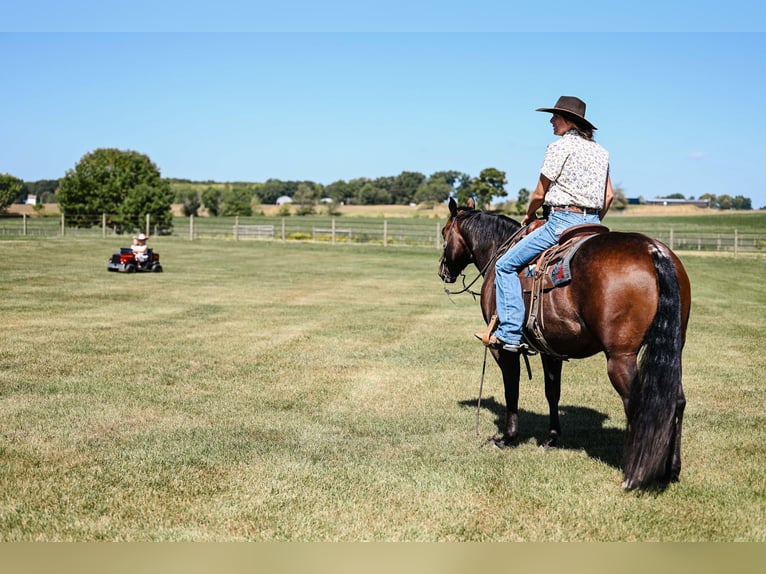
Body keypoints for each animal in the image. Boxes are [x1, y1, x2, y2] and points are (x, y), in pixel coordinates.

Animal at [438, 200, 696, 492]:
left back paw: (635, 474)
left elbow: (511, 390)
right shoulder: (551, 349)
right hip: (673, 350)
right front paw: (552, 438)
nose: (443, 270)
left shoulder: (503, 348)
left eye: (445, 232)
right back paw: (671, 470)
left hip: (621, 357)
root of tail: (653, 250)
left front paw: (508, 437)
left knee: (639, 403)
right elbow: (552, 392)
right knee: (676, 402)